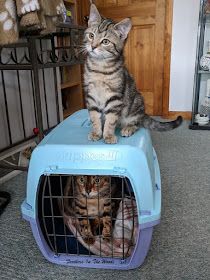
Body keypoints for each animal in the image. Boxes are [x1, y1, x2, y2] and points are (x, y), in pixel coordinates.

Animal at [83, 4, 182, 144]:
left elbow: (111, 119)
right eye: (91, 35)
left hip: (136, 103)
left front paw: (108, 135)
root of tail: (143, 113)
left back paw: (128, 128)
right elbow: (94, 116)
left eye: (105, 41)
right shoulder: (91, 95)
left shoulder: (115, 97)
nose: (92, 46)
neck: (99, 68)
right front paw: (96, 132)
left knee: (137, 123)